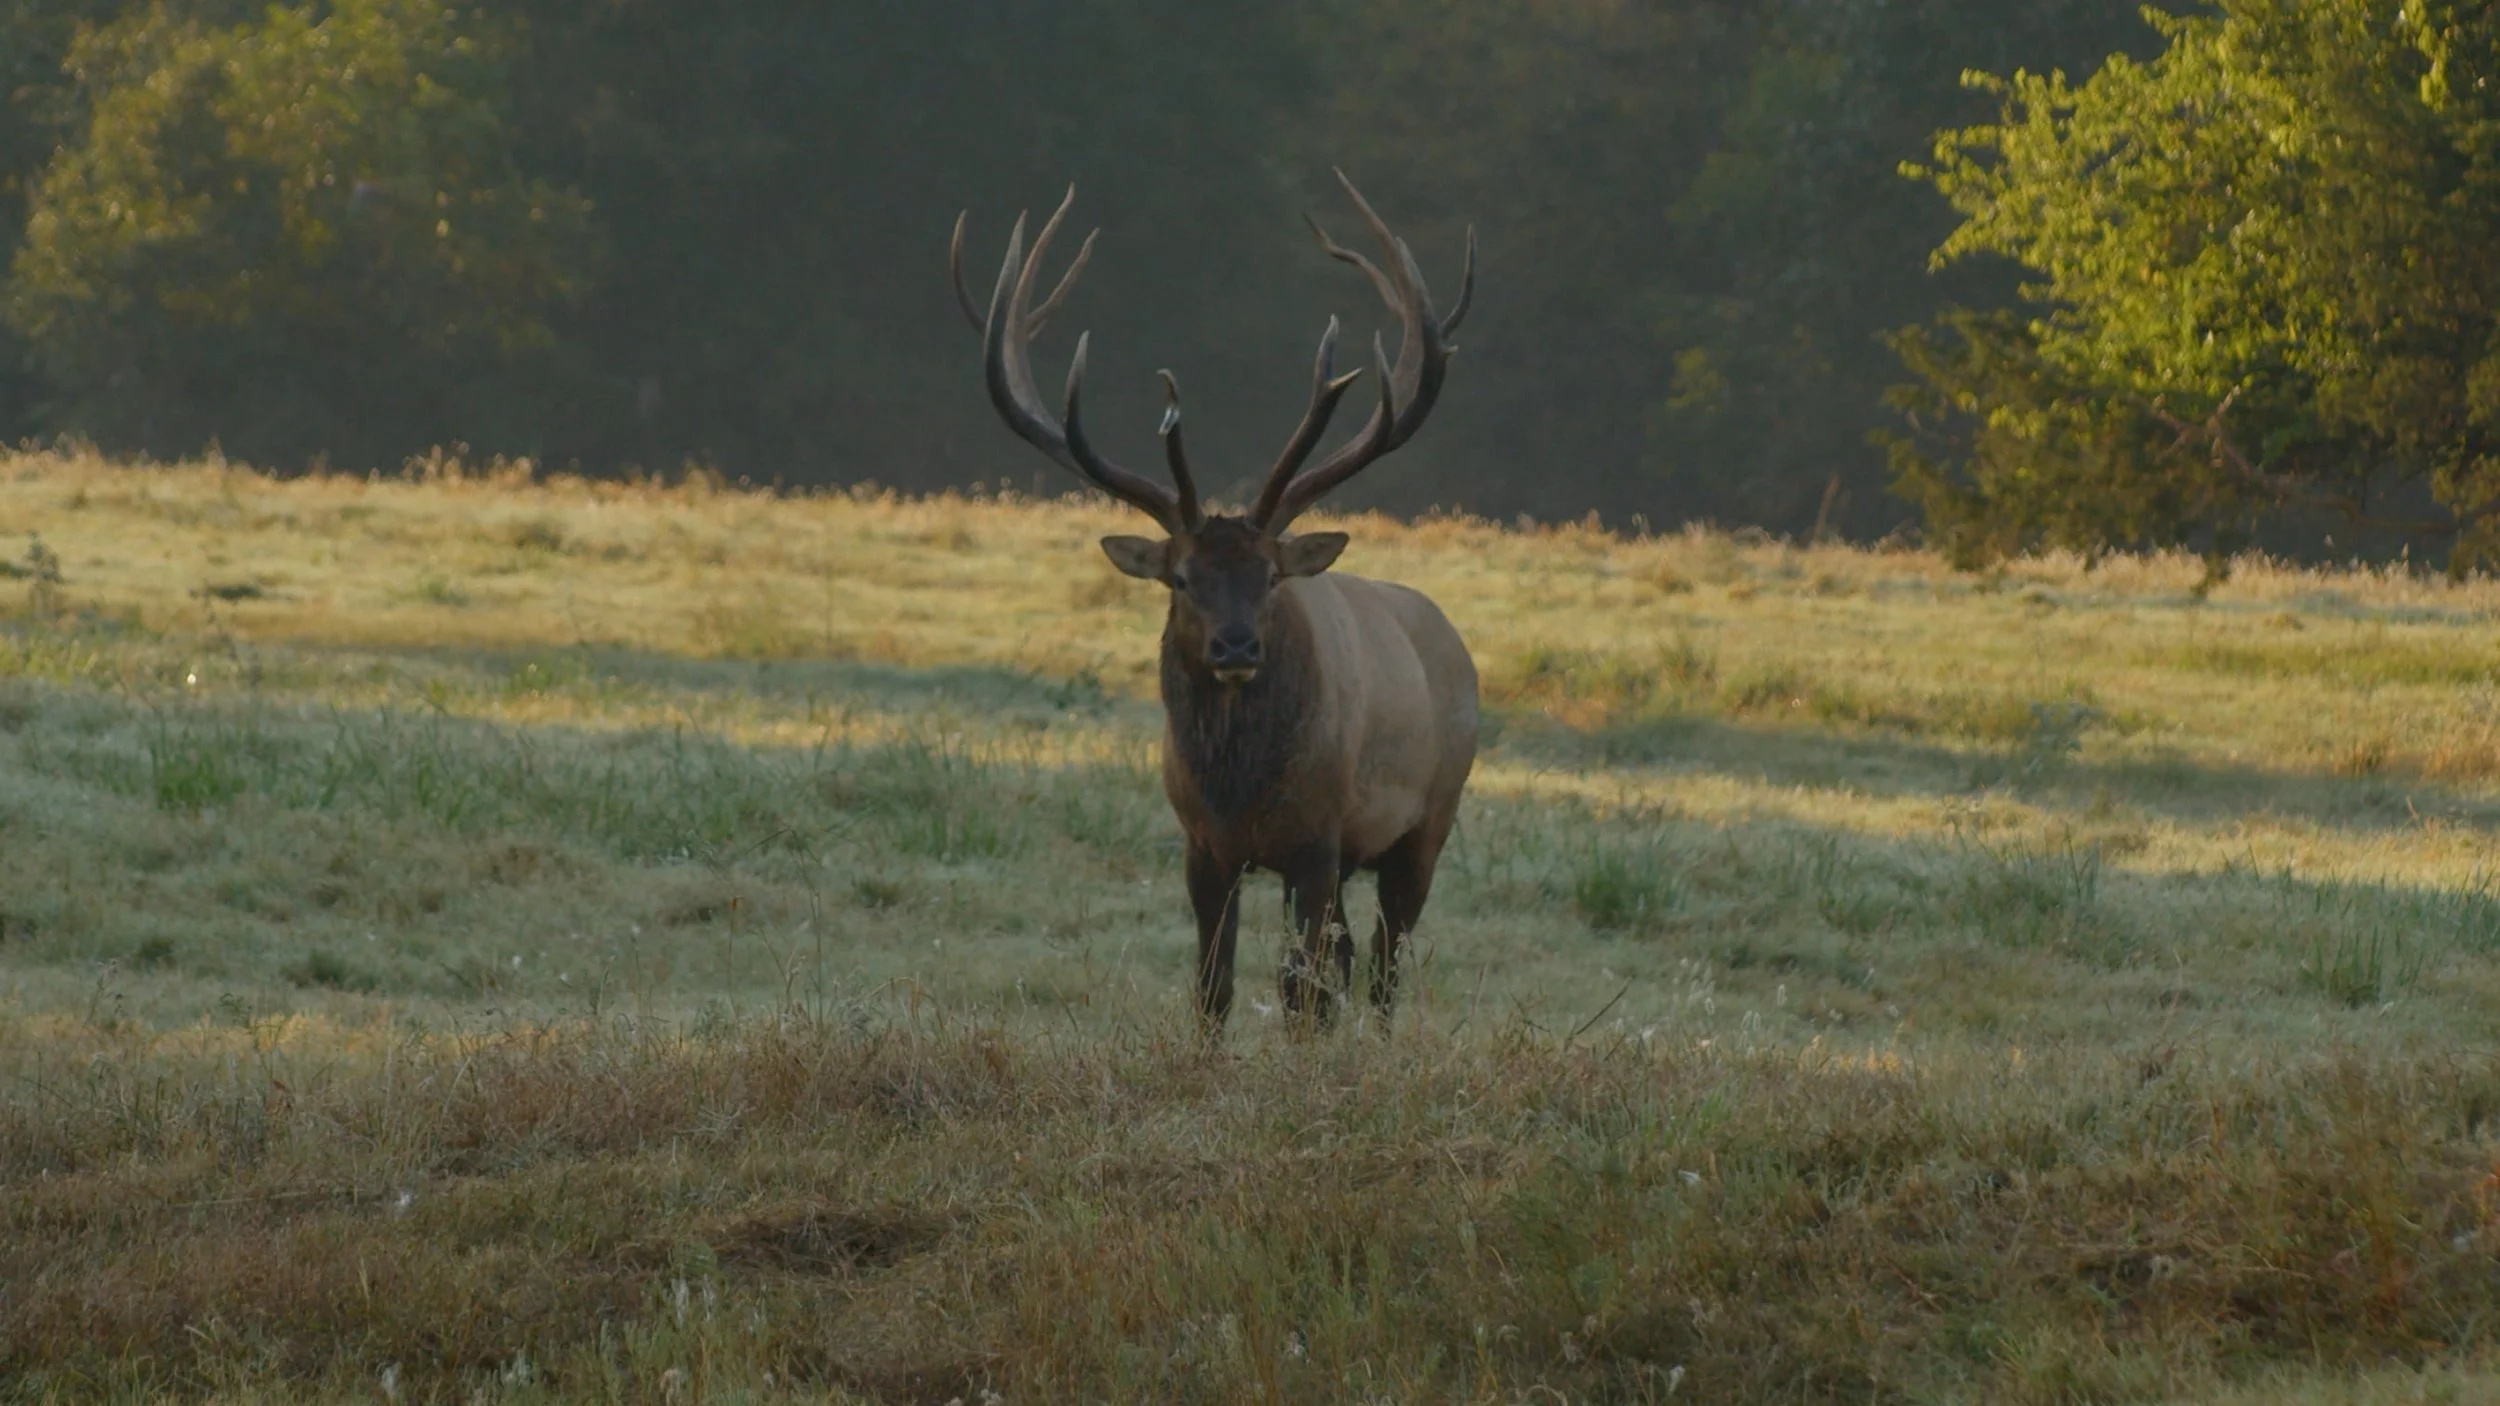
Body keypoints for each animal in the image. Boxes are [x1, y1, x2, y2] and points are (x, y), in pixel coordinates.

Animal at [950, 171, 1479, 1031]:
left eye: (1269, 577)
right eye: (1182, 578)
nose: (1236, 647)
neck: (1239, 792)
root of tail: (1450, 638)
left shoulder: (1318, 839)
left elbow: (1300, 988)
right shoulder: (1201, 845)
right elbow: (1212, 987)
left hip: (1429, 820)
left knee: (1383, 967)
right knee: (1351, 959)